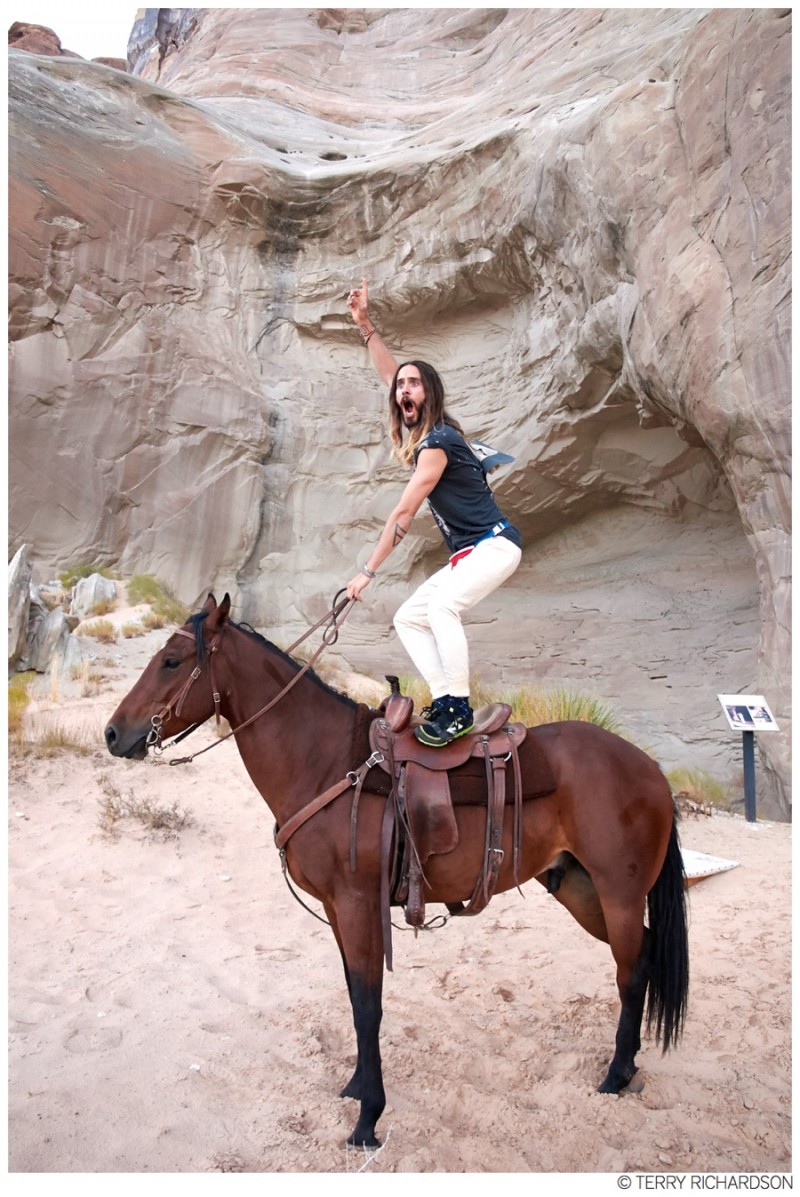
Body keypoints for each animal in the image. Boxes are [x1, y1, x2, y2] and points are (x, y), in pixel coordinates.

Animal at [104, 593, 689, 1144]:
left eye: (172, 661)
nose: (112, 734)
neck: (322, 760)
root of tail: (650, 769)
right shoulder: (337, 909)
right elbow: (354, 994)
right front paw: (358, 1086)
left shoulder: (358, 903)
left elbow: (368, 1005)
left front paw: (368, 1120)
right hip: (580, 890)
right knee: (640, 959)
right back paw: (626, 1067)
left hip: (617, 892)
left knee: (630, 971)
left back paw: (616, 1074)